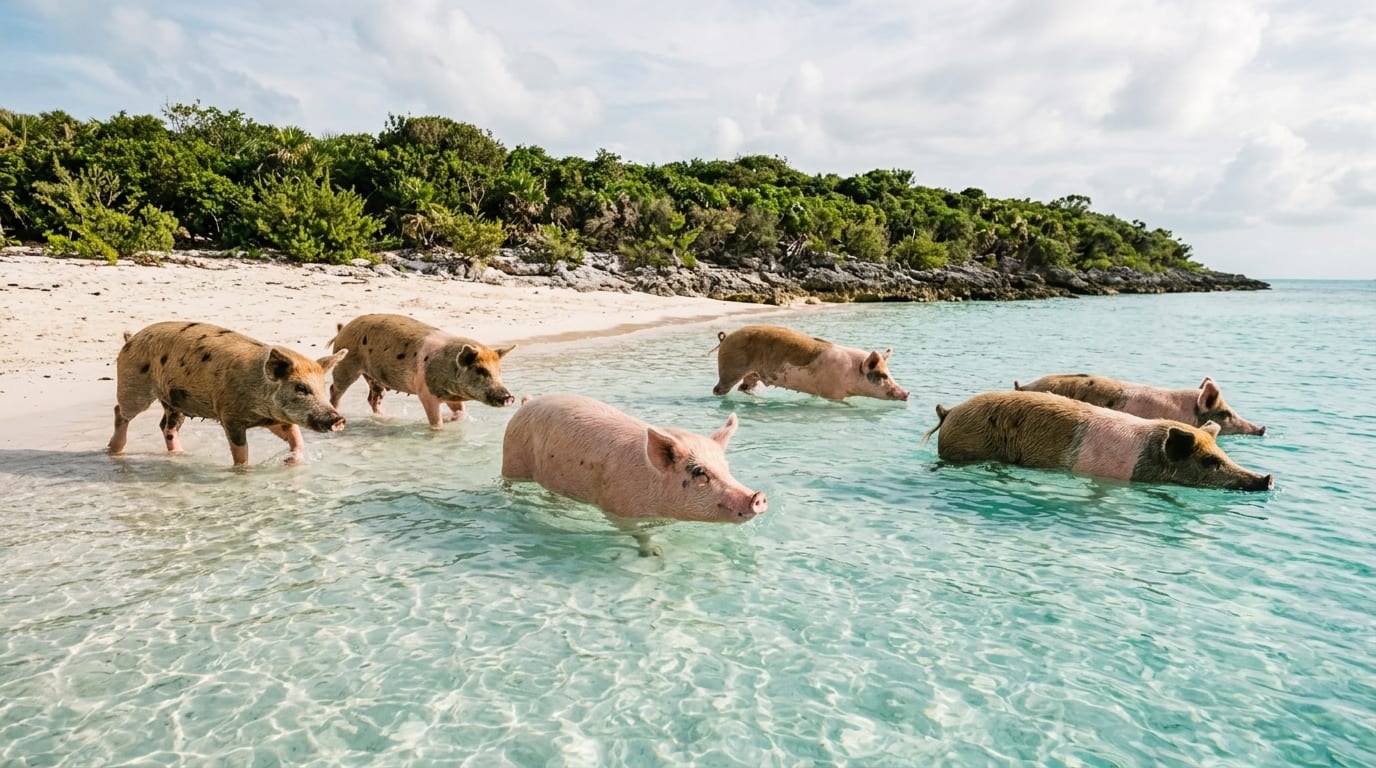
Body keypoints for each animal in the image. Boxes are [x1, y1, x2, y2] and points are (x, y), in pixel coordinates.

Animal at [107, 321, 348, 466]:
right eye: (301, 388)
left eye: (322, 388)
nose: (338, 419)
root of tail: (130, 338)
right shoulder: (229, 416)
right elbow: (240, 453)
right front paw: (243, 470)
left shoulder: (274, 418)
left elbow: (296, 436)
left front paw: (289, 462)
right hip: (134, 385)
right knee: (120, 411)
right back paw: (114, 450)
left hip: (174, 401)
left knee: (166, 426)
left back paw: (182, 455)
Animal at [328, 313, 516, 428]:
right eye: (481, 371)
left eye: (499, 371)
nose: (509, 397)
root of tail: (343, 329)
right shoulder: (425, 391)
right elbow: (435, 421)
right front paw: (440, 427)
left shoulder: (450, 396)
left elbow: (460, 411)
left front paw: (452, 419)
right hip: (346, 366)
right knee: (334, 390)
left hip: (374, 377)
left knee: (373, 398)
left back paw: (385, 418)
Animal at [501, 392, 768, 556]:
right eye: (699, 472)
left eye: (726, 467)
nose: (758, 496)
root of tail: (527, 402)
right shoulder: (617, 508)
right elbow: (638, 532)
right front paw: (656, 554)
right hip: (512, 458)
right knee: (507, 485)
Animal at [710, 325, 909, 401]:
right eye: (883, 375)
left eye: (889, 373)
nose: (907, 393)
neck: (851, 372)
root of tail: (726, 337)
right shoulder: (833, 393)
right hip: (729, 368)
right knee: (718, 389)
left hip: (751, 374)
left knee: (745, 387)